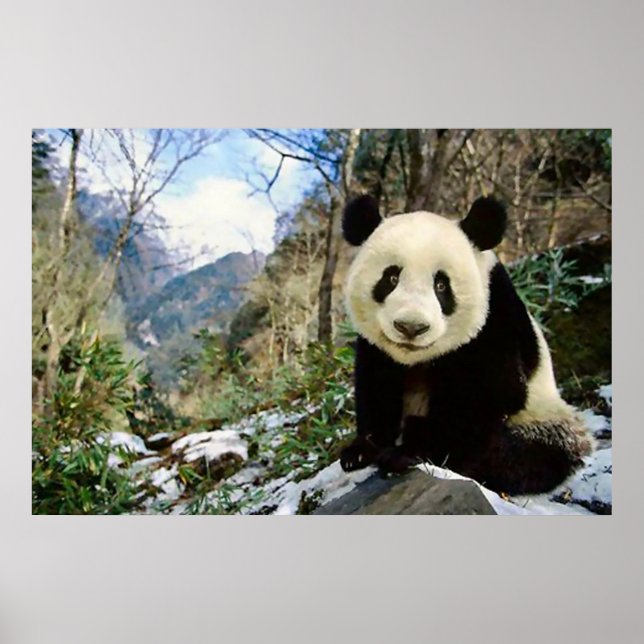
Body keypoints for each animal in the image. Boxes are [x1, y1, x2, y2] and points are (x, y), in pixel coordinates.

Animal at [339, 194, 594, 495]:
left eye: (441, 285)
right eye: (390, 278)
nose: (411, 327)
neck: (418, 358)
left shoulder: (494, 321)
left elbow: (488, 395)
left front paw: (408, 450)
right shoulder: (376, 349)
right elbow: (376, 385)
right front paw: (361, 451)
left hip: (542, 416)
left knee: (534, 453)